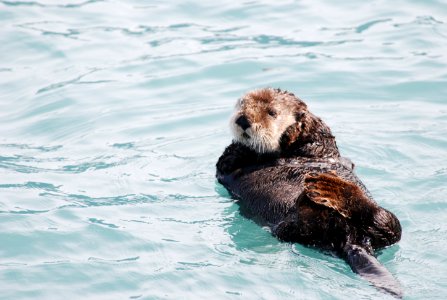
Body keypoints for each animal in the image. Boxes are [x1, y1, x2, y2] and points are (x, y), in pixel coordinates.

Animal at [215, 87, 404, 298]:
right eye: (241, 105)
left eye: (272, 112)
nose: (243, 119)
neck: (285, 152)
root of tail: (352, 239)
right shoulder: (228, 166)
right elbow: (230, 157)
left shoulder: (323, 147)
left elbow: (321, 135)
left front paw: (297, 125)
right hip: (293, 230)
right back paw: (315, 195)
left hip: (381, 229)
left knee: (386, 222)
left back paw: (329, 188)